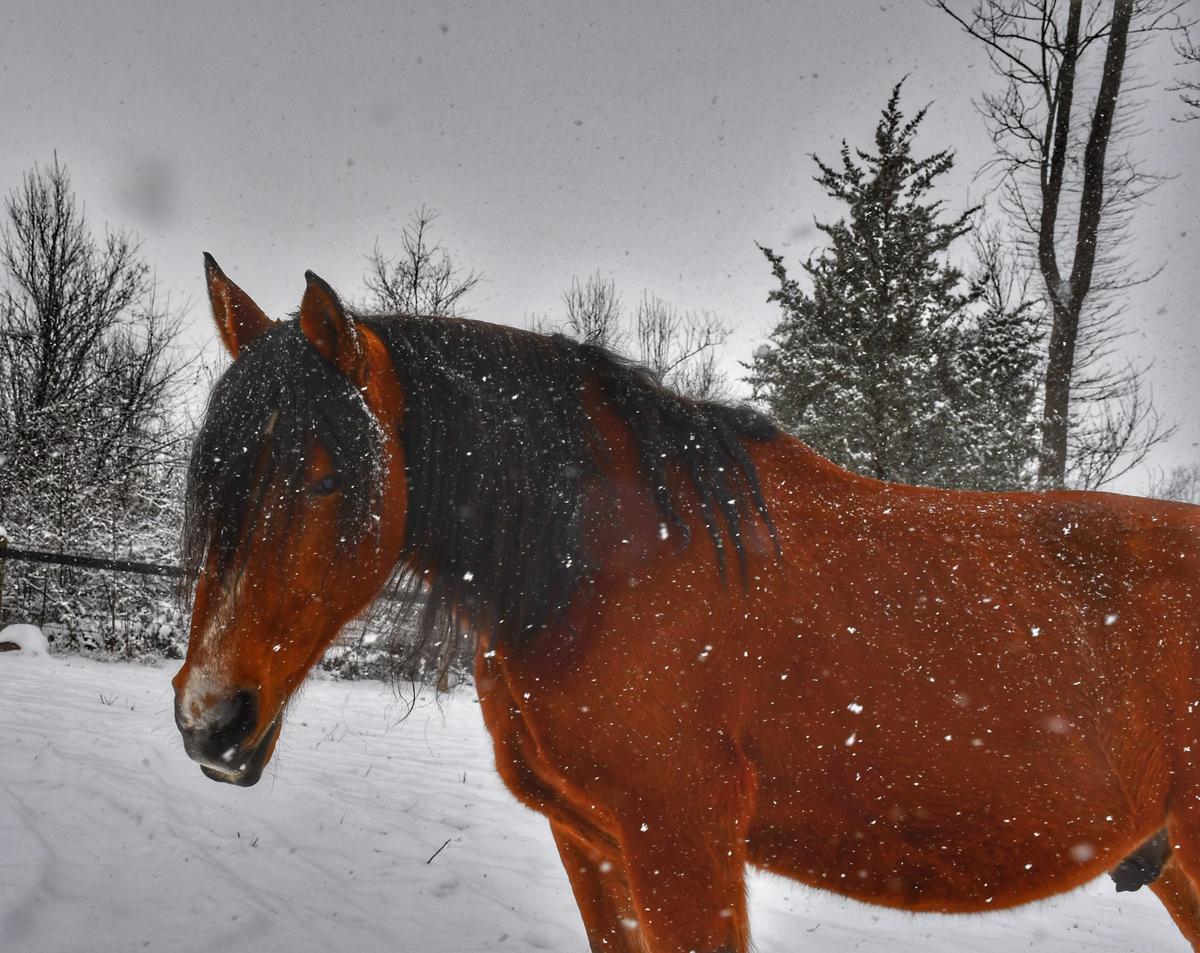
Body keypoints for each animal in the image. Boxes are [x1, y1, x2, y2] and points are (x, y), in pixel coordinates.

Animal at [173, 255, 1200, 953]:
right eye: (213, 476)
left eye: (322, 477)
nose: (209, 716)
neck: (603, 565)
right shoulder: (592, 845)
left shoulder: (681, 842)